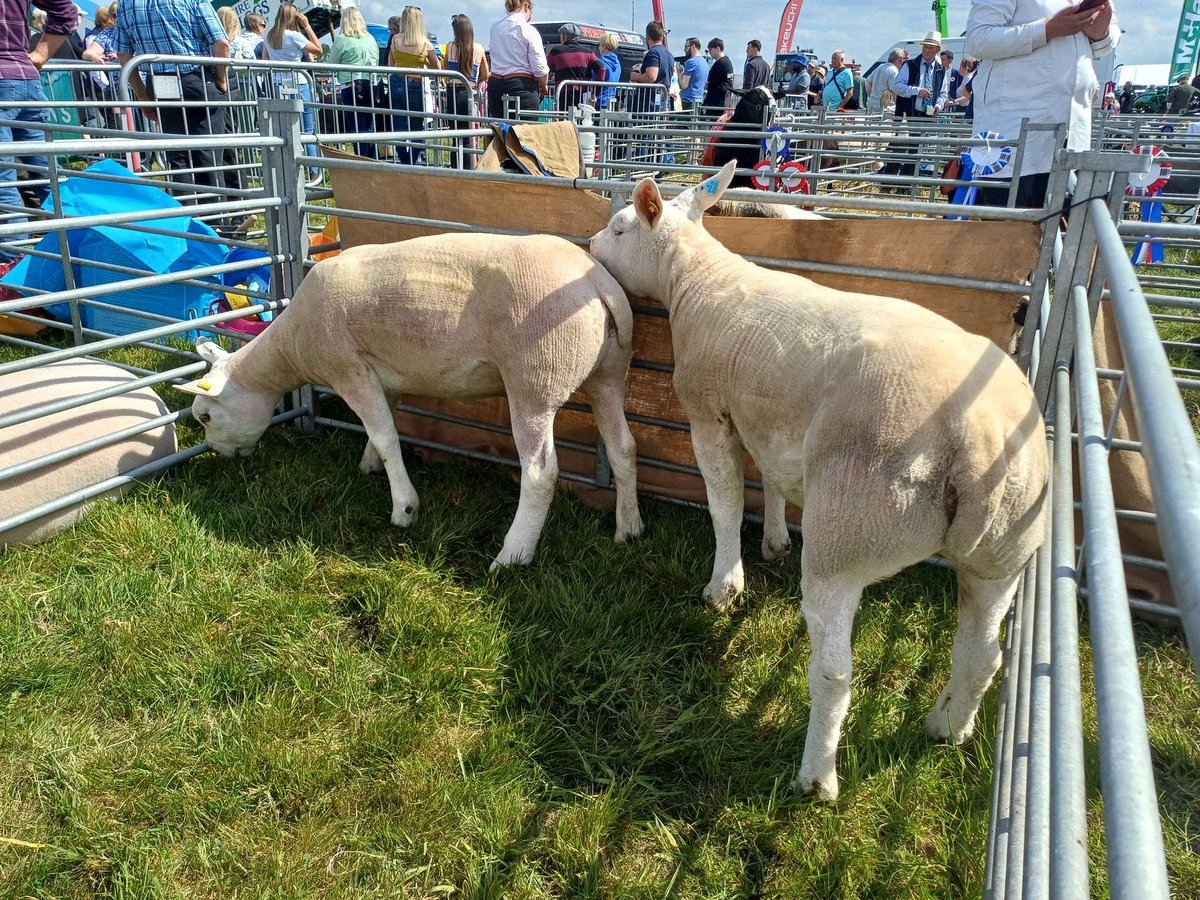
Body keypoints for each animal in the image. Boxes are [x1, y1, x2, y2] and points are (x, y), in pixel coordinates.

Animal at [176, 233, 644, 571]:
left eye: (204, 417)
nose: (221, 455)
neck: (291, 347)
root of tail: (602, 286)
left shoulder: (349, 369)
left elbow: (386, 437)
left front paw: (404, 507)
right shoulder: (386, 375)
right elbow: (381, 429)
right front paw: (368, 466)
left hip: (535, 379)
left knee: (541, 473)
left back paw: (513, 555)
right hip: (608, 373)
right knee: (623, 447)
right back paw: (629, 528)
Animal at [588, 161, 1047, 801]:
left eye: (621, 227)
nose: (589, 245)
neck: (698, 280)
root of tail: (977, 441)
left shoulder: (708, 412)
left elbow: (726, 503)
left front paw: (725, 584)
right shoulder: (767, 418)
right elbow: (772, 480)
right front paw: (775, 541)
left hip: (848, 532)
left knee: (834, 671)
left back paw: (816, 776)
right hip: (1004, 551)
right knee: (982, 655)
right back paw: (946, 728)